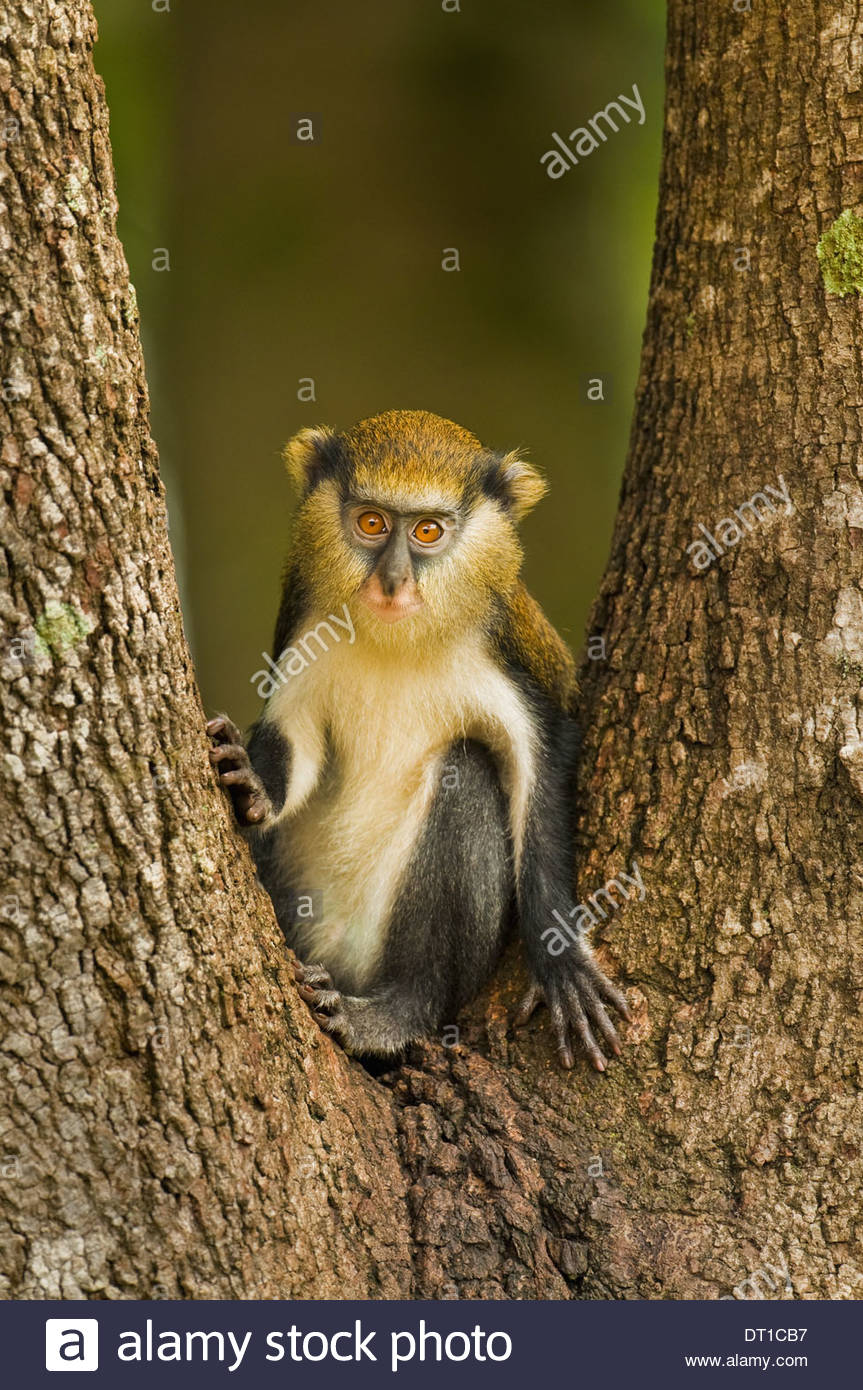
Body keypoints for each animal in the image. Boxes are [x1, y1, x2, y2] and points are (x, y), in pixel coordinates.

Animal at [207, 409, 631, 1070]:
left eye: (429, 531)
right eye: (372, 523)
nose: (393, 580)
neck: (396, 640)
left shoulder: (510, 651)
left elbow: (544, 763)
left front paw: (560, 957)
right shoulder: (302, 617)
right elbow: (292, 734)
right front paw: (253, 782)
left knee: (467, 775)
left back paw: (395, 1011)